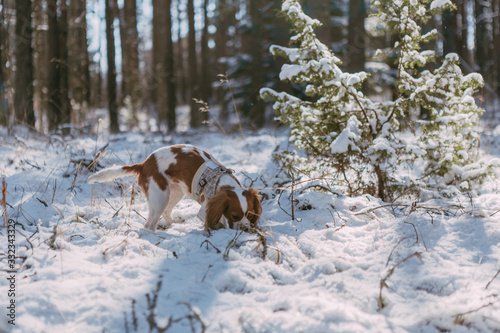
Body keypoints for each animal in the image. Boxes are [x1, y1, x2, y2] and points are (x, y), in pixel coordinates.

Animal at [87, 144, 262, 232]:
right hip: (160, 196)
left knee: (166, 213)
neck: (221, 182)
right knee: (149, 225)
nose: (246, 229)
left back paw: (175, 225)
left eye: (251, 215)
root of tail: (143, 164)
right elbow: (216, 221)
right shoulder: (205, 208)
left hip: (176, 191)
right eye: (234, 216)